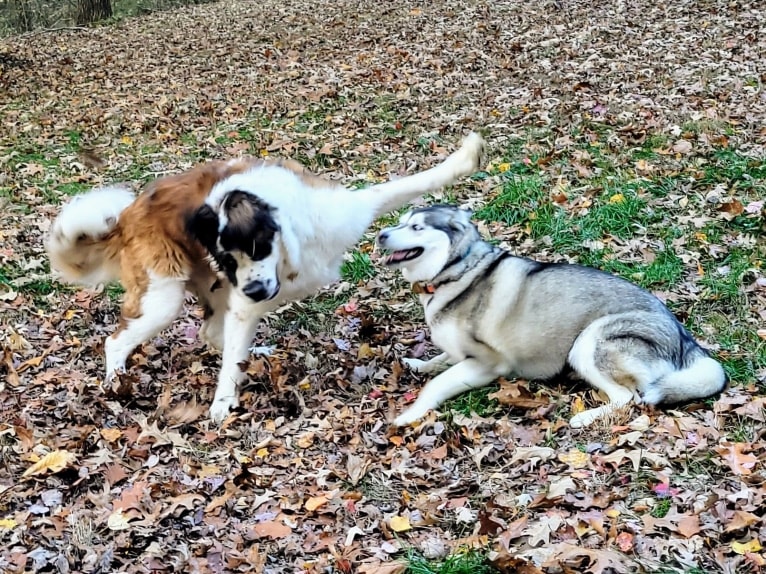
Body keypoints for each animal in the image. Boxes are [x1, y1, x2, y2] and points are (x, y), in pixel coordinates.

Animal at [45, 134, 486, 424]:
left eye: (255, 246)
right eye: (227, 256)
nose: (256, 289)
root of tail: (125, 217)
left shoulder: (343, 212)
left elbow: (411, 183)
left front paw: (464, 158)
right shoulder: (243, 297)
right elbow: (230, 356)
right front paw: (222, 403)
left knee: (211, 334)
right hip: (163, 298)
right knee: (117, 340)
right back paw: (116, 381)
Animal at [380, 206, 728, 428]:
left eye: (416, 227)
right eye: (399, 221)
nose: (381, 234)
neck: (454, 271)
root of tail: (685, 338)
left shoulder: (487, 363)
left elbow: (436, 385)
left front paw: (410, 414)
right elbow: (438, 361)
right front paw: (417, 363)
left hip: (588, 341)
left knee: (628, 398)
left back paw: (584, 418)